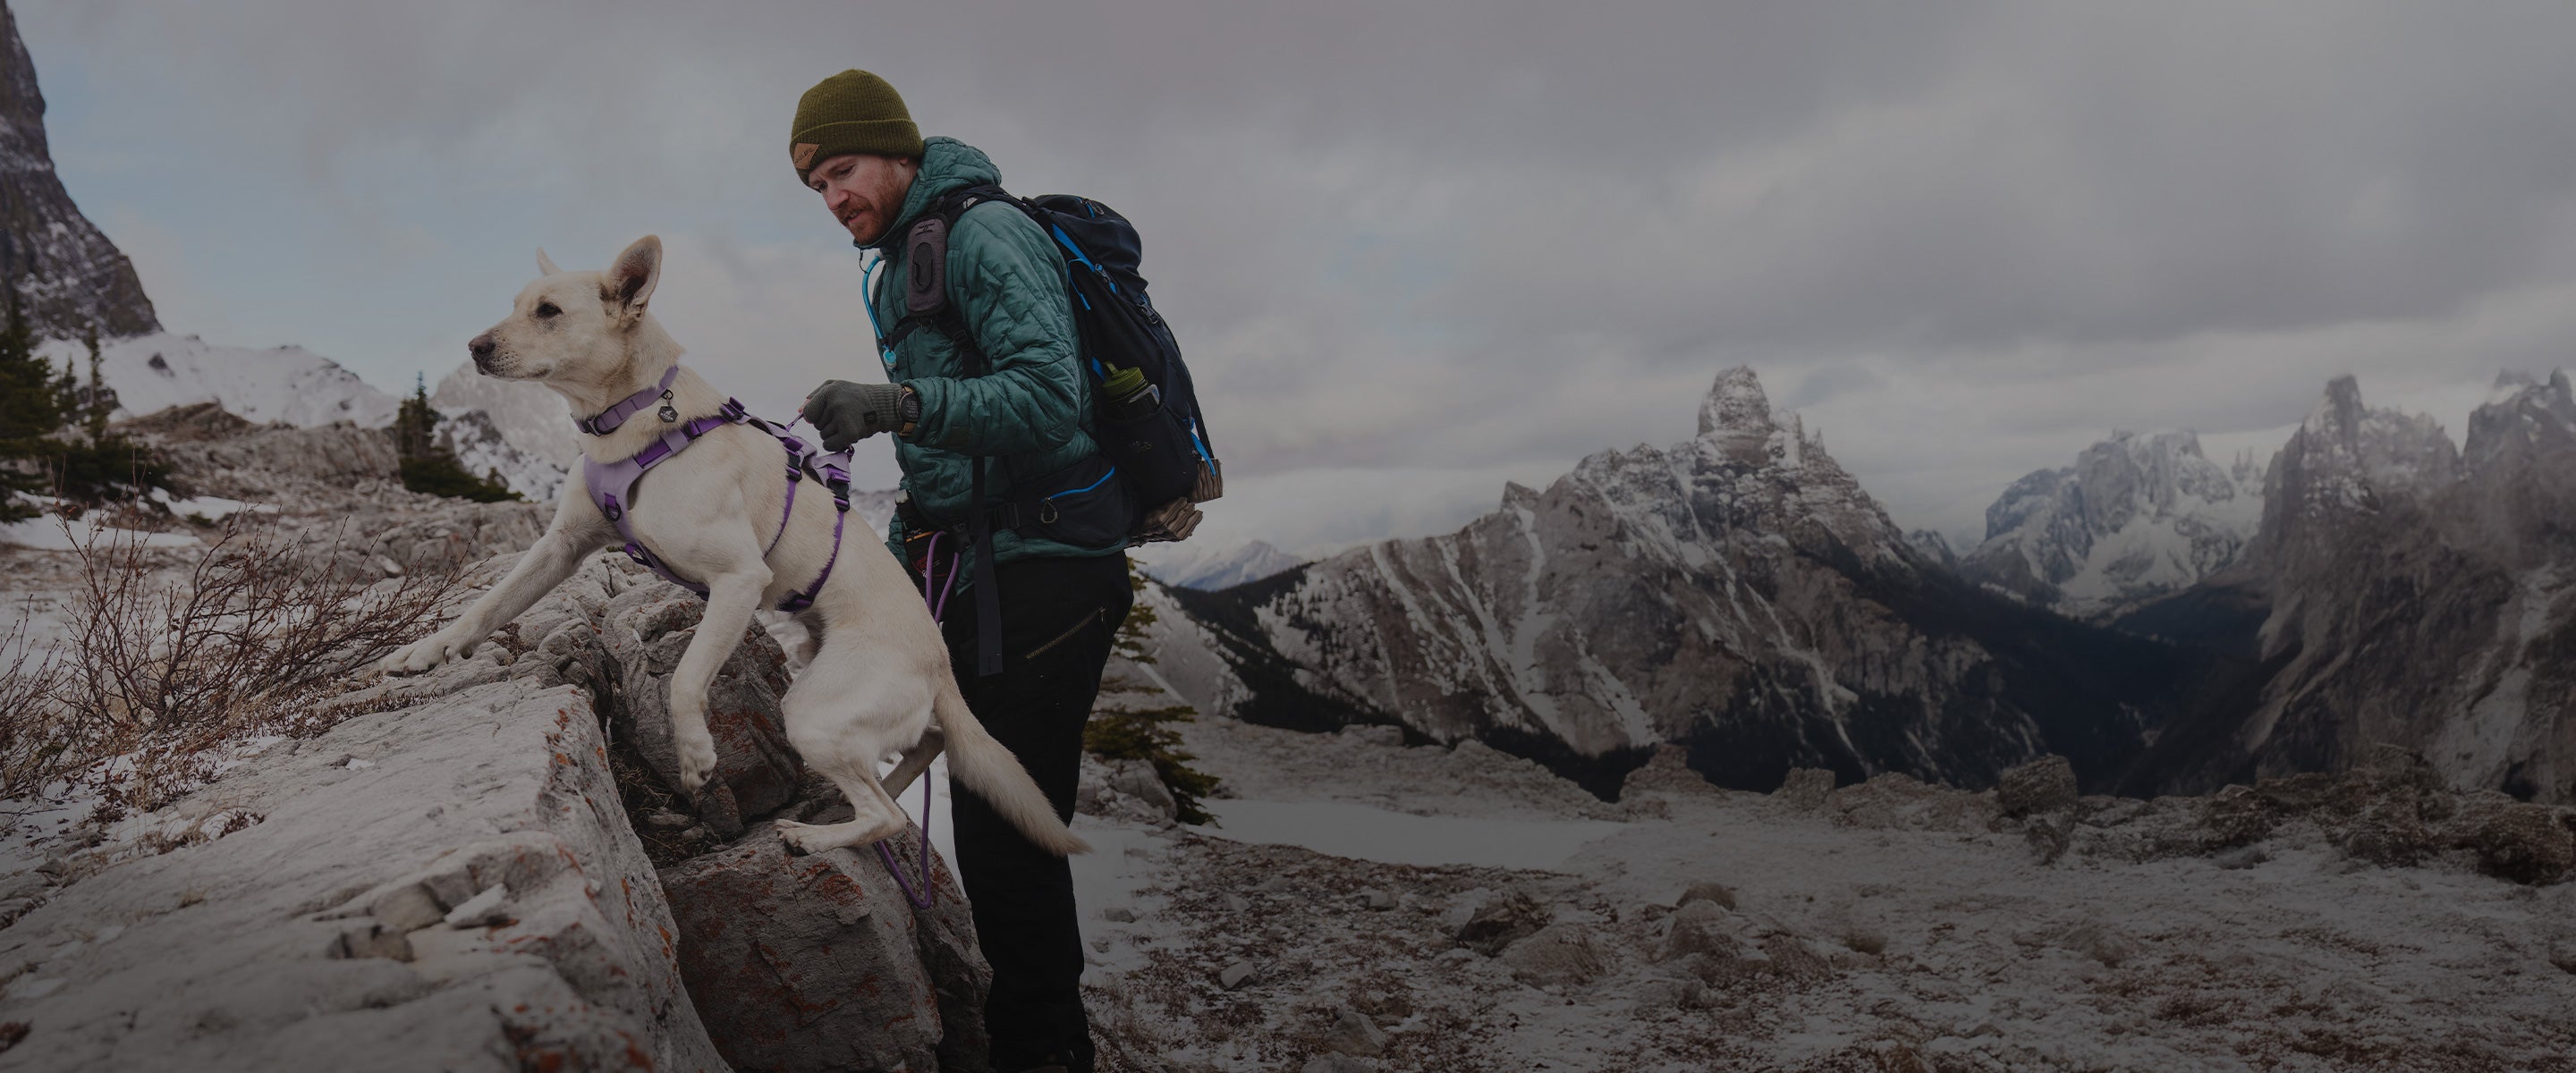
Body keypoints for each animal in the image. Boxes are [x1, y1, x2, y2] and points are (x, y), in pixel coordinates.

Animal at [376, 233, 1081, 854]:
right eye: (518, 302)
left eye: (549, 312)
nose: (475, 346)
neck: (633, 417)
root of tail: (941, 662)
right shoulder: (562, 546)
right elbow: (487, 605)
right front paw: (424, 653)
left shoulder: (739, 581)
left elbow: (687, 677)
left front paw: (695, 756)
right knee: (923, 751)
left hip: (814, 710)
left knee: (884, 815)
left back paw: (813, 836)